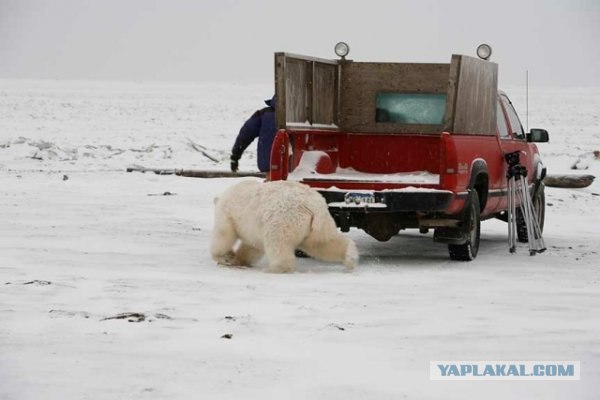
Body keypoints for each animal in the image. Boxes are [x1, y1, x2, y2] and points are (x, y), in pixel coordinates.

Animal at [212, 180, 356, 272]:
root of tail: (312, 206)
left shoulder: (227, 213)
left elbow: (224, 234)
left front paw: (225, 257)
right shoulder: (252, 228)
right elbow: (252, 247)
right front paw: (237, 259)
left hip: (282, 219)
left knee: (278, 243)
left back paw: (273, 268)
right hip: (319, 224)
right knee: (323, 243)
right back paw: (350, 258)